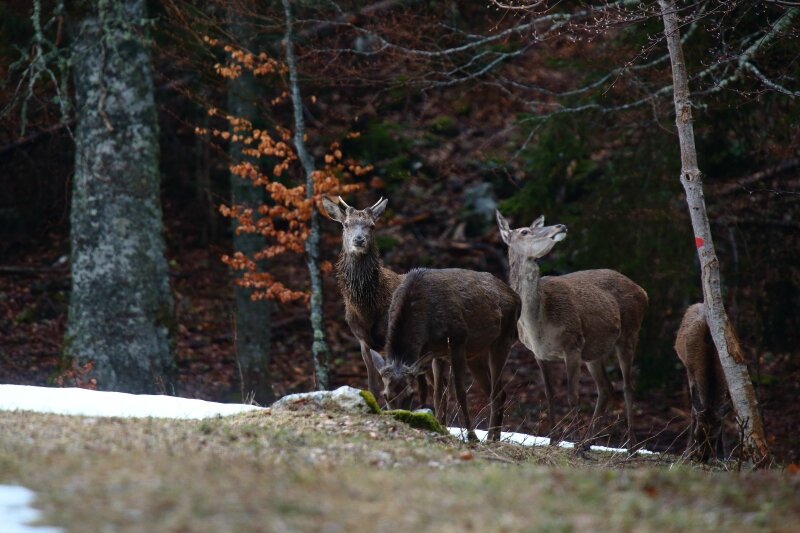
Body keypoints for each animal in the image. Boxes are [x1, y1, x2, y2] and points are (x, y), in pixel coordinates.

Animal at [368, 266, 520, 440]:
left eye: (411, 394)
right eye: (385, 395)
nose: (399, 418)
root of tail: (517, 298)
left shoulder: (457, 340)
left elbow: (460, 392)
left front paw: (472, 436)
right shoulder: (436, 353)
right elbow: (438, 394)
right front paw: (441, 427)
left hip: (504, 338)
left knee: (496, 393)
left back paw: (490, 439)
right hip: (476, 354)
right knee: (499, 393)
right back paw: (495, 437)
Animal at [494, 210, 648, 446]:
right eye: (525, 231)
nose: (560, 226)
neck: (538, 325)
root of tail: (643, 291)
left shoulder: (573, 343)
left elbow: (572, 395)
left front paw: (569, 440)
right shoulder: (539, 354)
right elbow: (550, 394)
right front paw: (553, 439)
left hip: (630, 332)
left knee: (628, 387)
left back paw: (629, 445)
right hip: (595, 349)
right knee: (606, 387)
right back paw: (587, 442)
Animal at [676, 304, 732, 462]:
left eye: (714, 438)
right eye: (697, 435)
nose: (702, 457)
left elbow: (723, 415)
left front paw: (723, 455)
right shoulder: (690, 372)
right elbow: (694, 412)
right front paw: (687, 452)